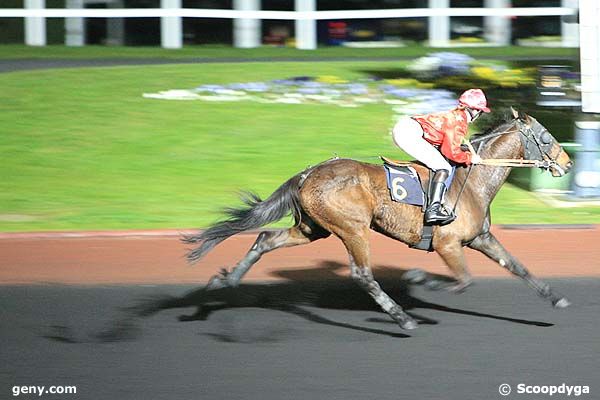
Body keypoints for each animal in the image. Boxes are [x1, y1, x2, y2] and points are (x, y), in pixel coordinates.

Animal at [182, 108, 572, 330]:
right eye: (547, 137)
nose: (567, 164)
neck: (473, 179)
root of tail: (308, 172)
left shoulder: (481, 238)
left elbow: (517, 266)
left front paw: (556, 299)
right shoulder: (448, 244)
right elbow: (463, 280)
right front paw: (420, 280)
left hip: (313, 228)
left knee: (265, 239)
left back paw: (227, 279)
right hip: (352, 228)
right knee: (363, 275)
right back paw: (402, 318)